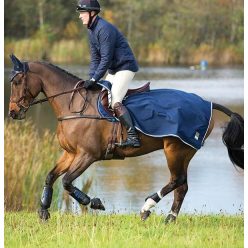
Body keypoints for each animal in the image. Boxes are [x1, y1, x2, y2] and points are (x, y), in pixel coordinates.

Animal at [8, 54, 244, 223]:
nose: (13, 112)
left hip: (175, 150)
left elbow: (66, 181)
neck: (73, 106)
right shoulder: (70, 153)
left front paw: (94, 202)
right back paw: (169, 218)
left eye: (17, 81)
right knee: (182, 185)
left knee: (177, 181)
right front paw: (44, 211)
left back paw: (146, 208)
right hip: (183, 152)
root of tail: (207, 103)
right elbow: (50, 176)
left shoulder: (87, 155)